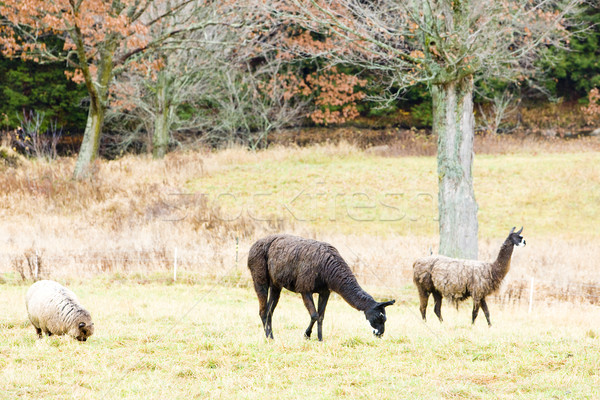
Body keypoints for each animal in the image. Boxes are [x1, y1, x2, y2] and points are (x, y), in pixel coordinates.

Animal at [246, 234, 396, 340]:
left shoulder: (324, 291)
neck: (327, 269)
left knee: (269, 311)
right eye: (379, 317)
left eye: (384, 318)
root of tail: (254, 245)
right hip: (259, 276)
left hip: (276, 284)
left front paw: (320, 339)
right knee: (263, 310)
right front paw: (307, 335)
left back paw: (271, 336)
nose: (380, 334)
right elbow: (314, 315)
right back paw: (268, 337)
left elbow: (321, 316)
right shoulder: (305, 287)